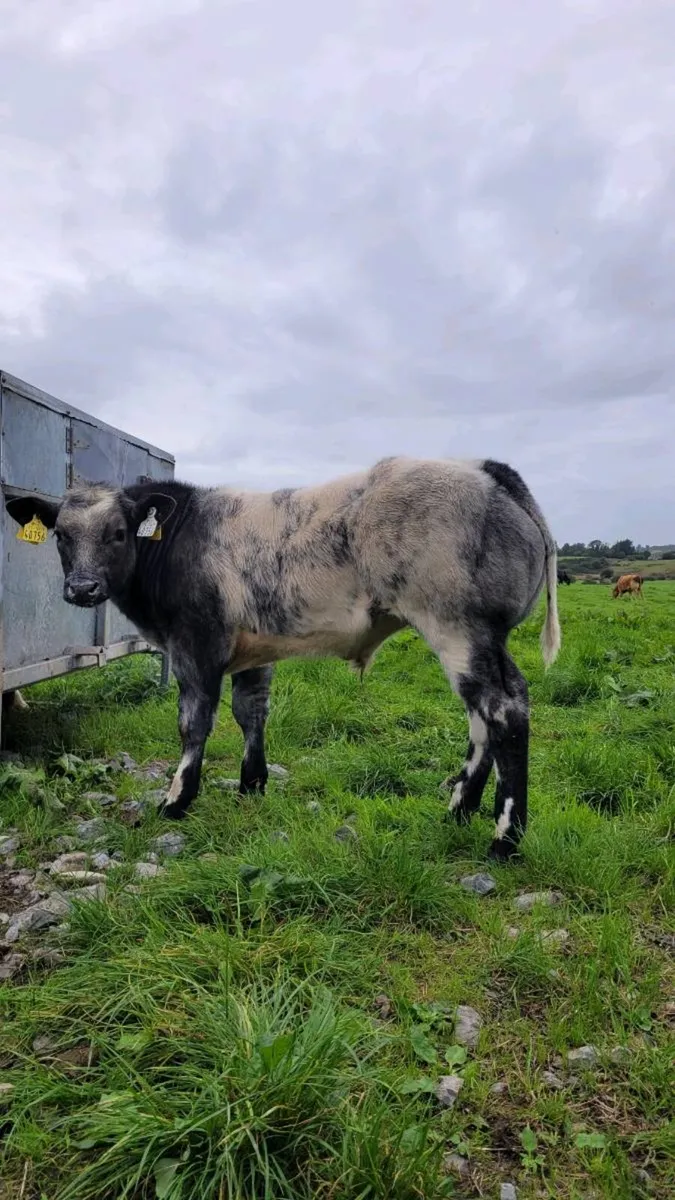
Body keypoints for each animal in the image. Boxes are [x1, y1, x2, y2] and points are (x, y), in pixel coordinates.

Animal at [5, 456, 560, 860]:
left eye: (119, 533)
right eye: (60, 535)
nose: (82, 588)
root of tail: (483, 469)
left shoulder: (195, 645)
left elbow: (194, 722)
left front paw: (176, 799)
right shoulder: (254, 649)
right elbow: (251, 711)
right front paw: (252, 785)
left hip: (458, 629)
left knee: (503, 711)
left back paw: (504, 837)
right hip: (479, 640)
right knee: (483, 718)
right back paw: (459, 809)